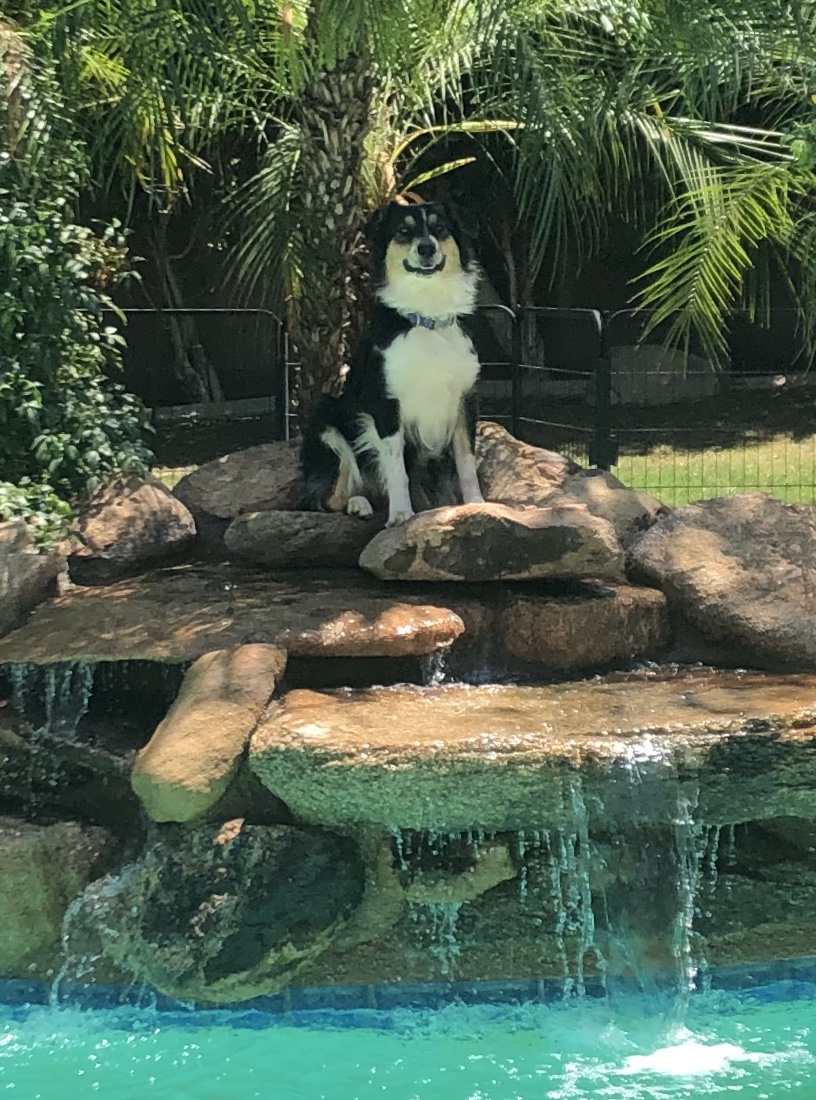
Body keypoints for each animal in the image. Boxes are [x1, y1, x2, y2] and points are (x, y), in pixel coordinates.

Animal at [298, 200, 485, 526]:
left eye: (439, 227)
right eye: (404, 231)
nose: (426, 248)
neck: (426, 315)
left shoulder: (465, 399)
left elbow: (466, 461)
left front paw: (478, 504)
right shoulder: (385, 403)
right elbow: (396, 467)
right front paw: (400, 513)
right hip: (327, 422)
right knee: (326, 498)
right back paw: (358, 503)